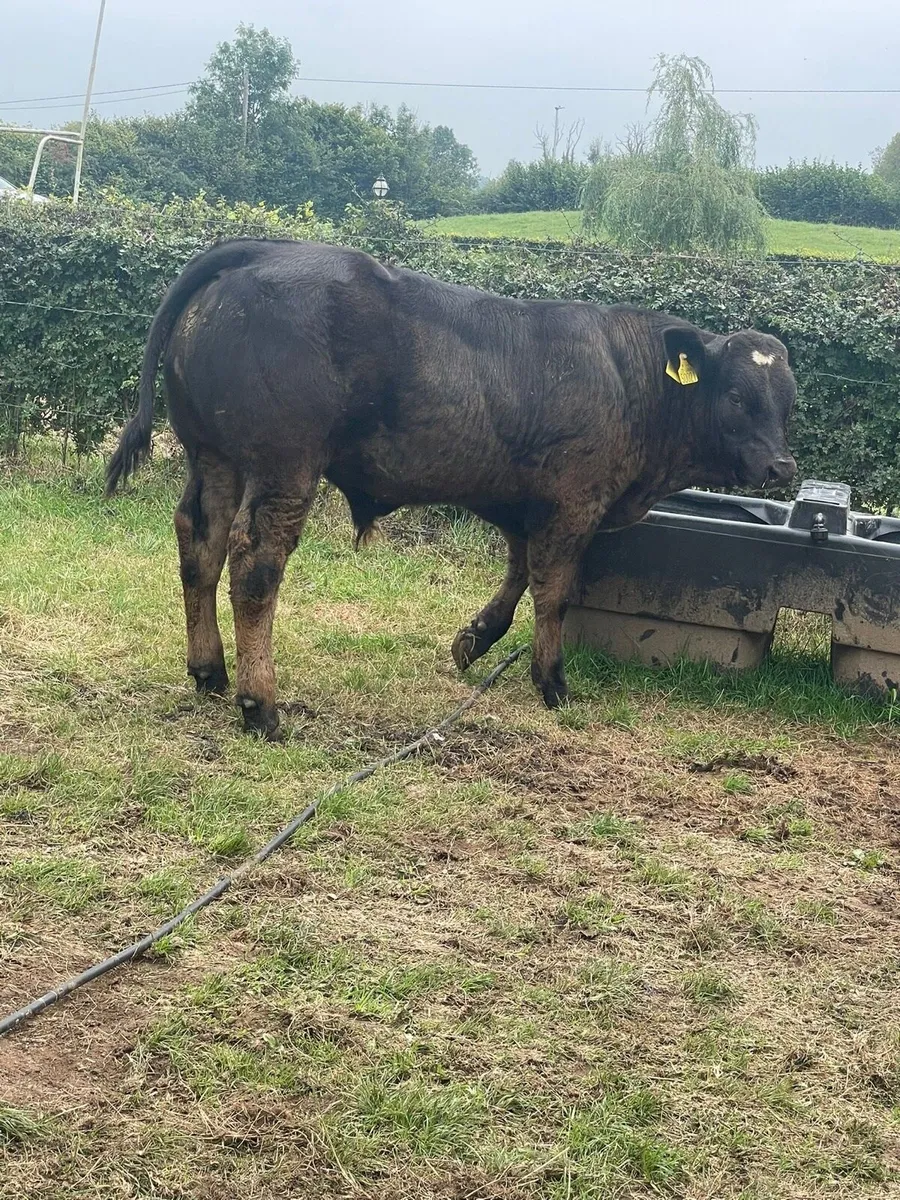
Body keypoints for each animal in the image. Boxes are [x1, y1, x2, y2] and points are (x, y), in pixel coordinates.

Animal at [106, 239, 797, 739]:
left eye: (788, 401)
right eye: (737, 397)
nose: (781, 469)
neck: (629, 378)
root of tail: (259, 251)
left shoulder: (524, 505)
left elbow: (518, 576)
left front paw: (475, 639)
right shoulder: (573, 503)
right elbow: (553, 593)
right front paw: (552, 681)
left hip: (215, 460)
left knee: (199, 541)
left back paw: (210, 670)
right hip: (284, 467)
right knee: (254, 563)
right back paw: (261, 705)